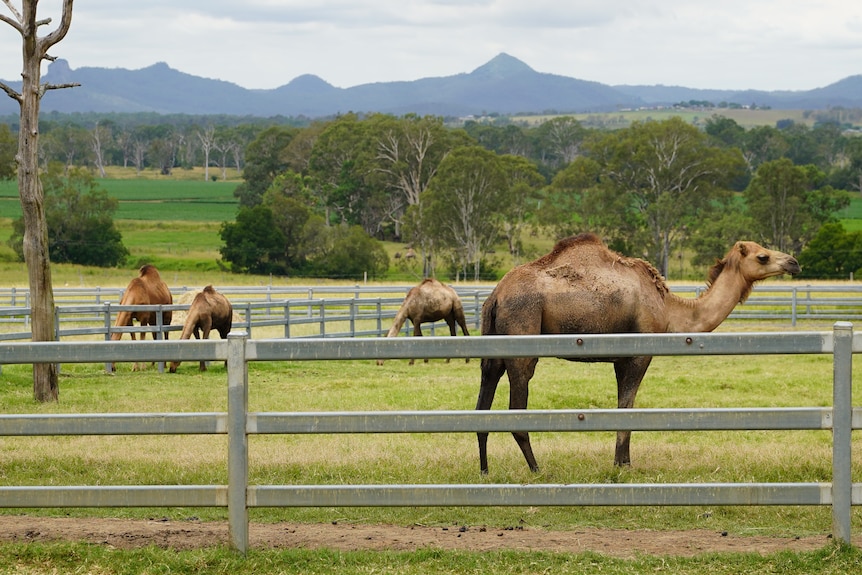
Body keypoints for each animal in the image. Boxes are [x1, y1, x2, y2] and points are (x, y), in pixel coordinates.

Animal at [476, 233, 800, 474]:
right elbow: (628, 407)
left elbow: (624, 407)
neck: (669, 310)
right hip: (522, 333)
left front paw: (622, 462)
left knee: (482, 403)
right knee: (516, 404)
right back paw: (536, 469)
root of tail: (496, 296)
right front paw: (623, 466)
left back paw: (485, 470)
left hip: (492, 345)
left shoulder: (620, 358)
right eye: (762, 256)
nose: (794, 262)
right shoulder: (638, 353)